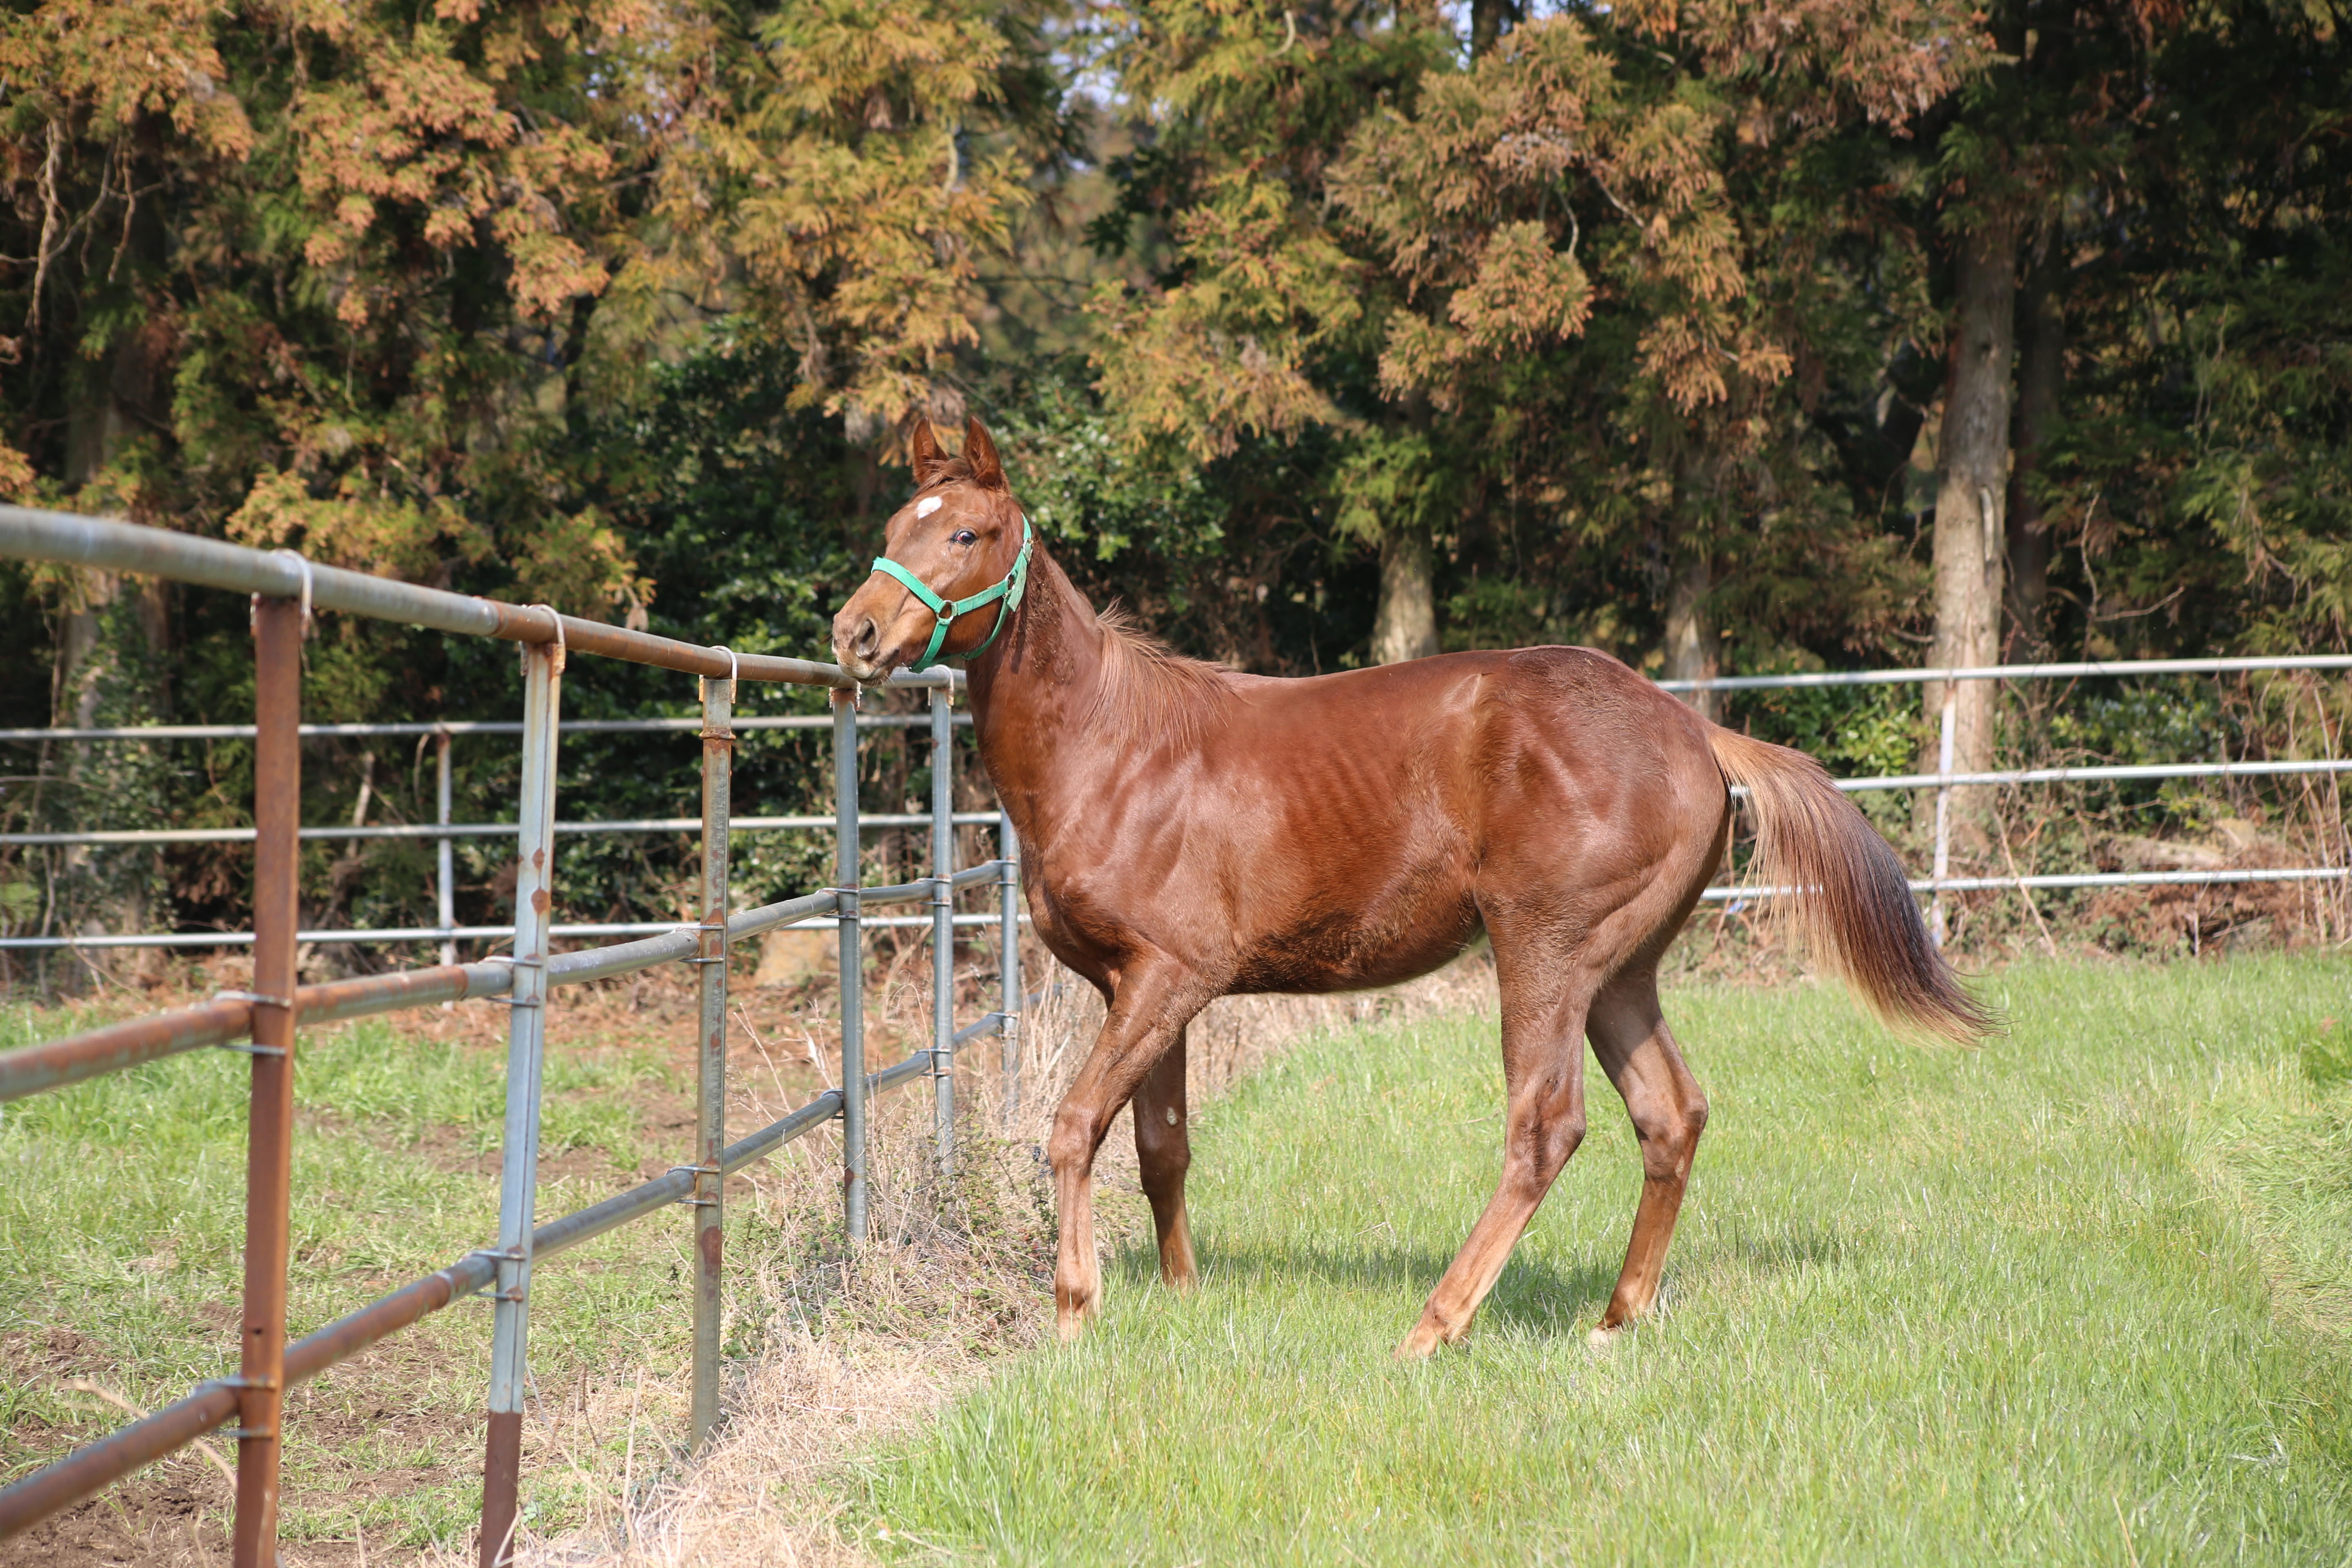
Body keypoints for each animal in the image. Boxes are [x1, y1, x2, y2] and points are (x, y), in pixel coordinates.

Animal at [828, 421, 1985, 1363]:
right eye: (892, 524)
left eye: (967, 534)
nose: (854, 634)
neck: (1114, 751)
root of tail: (1695, 730)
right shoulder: (1145, 990)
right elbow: (1162, 1146)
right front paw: (1180, 1298)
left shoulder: (1167, 978)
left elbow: (1074, 1125)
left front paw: (1074, 1311)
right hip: (1620, 970)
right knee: (1672, 1113)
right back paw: (1614, 1319)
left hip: (1544, 950)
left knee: (1545, 1126)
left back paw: (1434, 1326)